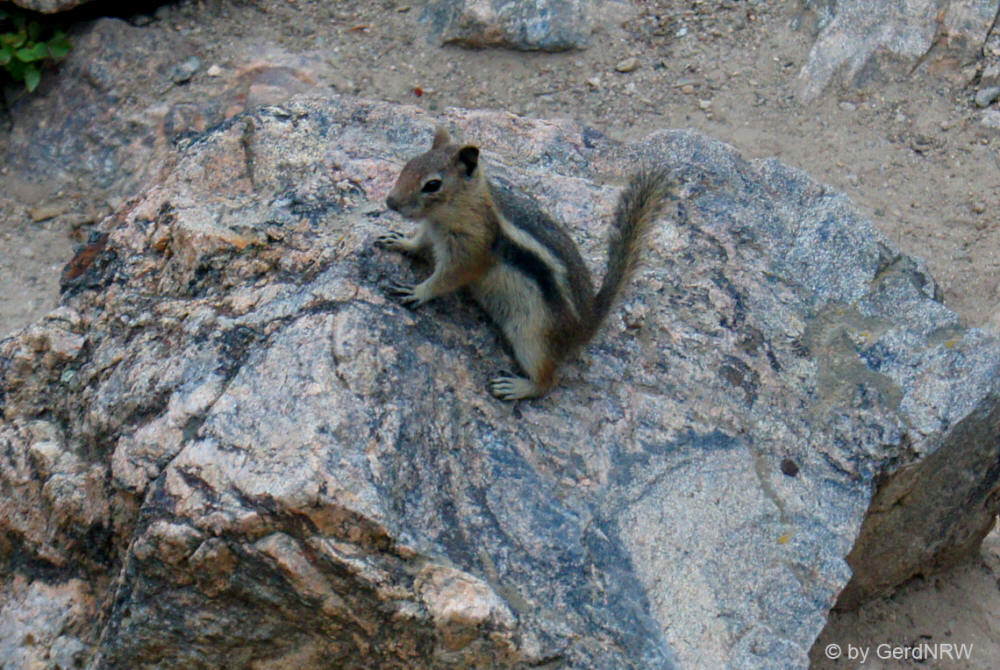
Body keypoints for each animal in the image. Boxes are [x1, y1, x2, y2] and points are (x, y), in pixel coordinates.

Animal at [379, 125, 674, 400]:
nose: (390, 201)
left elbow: (448, 278)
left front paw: (418, 290)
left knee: (548, 381)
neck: (457, 209)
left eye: (432, 185)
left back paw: (517, 387)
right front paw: (399, 241)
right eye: (409, 164)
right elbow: (419, 243)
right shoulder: (433, 232)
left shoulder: (471, 251)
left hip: (533, 338)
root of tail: (587, 325)